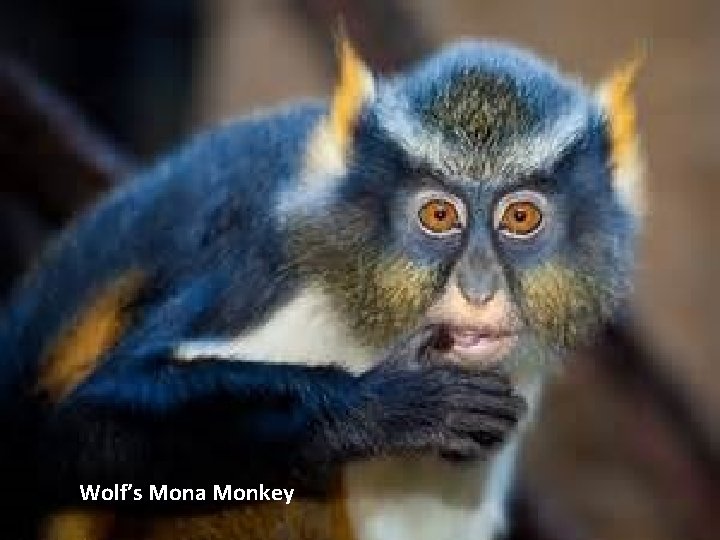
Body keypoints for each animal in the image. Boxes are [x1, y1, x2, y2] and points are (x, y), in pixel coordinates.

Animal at [0, 36, 642, 540]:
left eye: (520, 218)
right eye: (438, 215)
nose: (480, 288)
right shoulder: (268, 257)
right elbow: (84, 426)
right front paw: (381, 409)